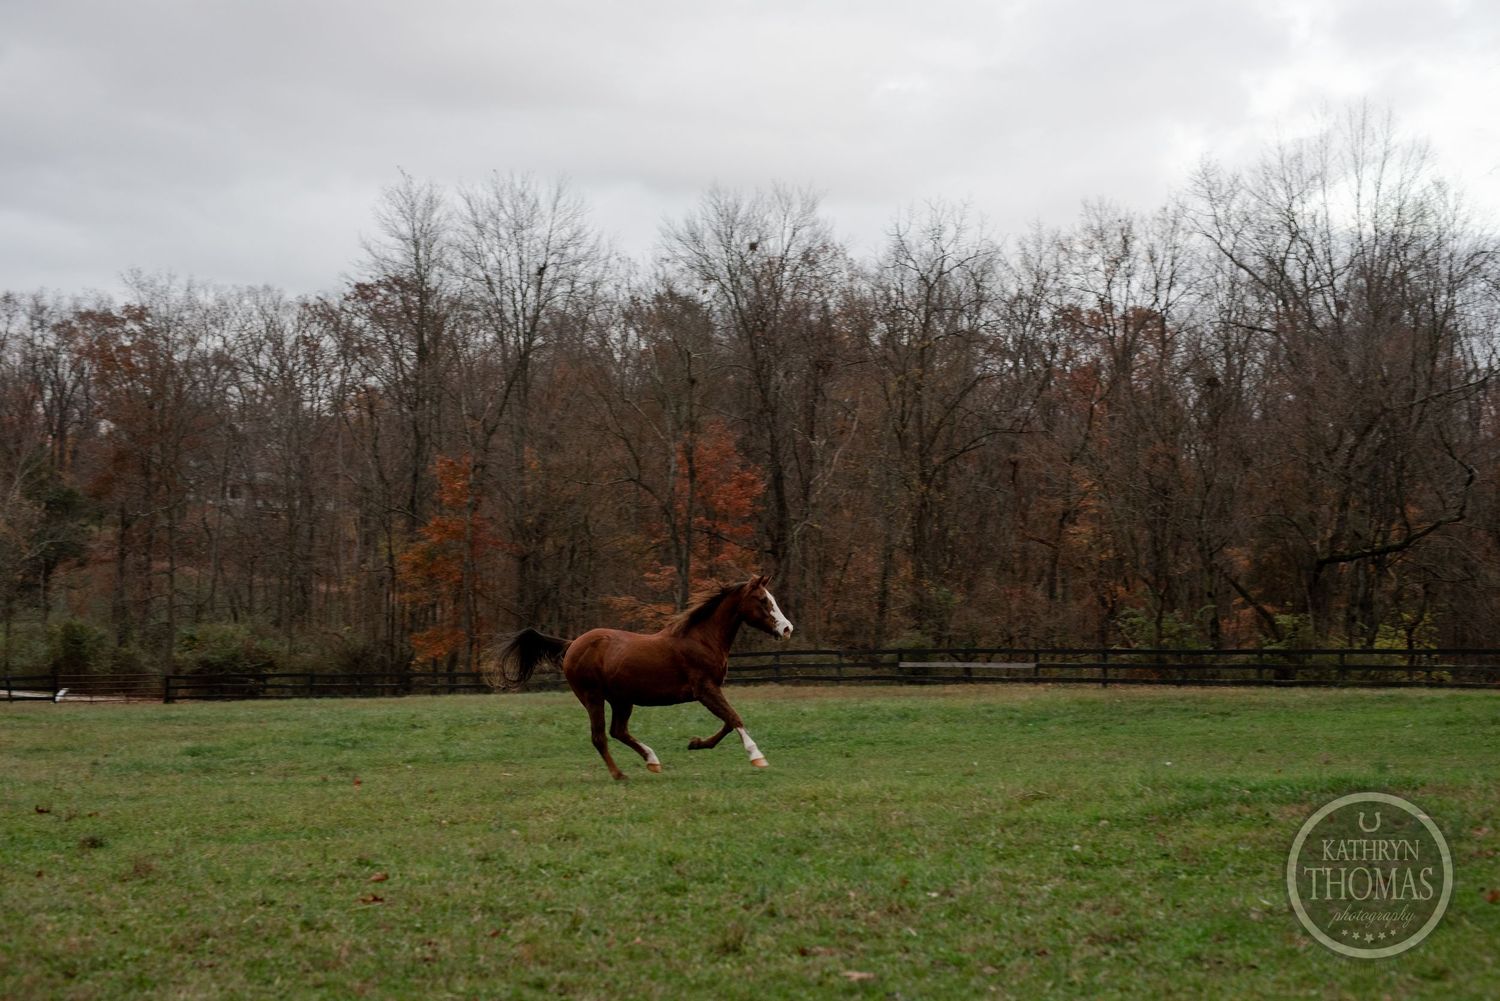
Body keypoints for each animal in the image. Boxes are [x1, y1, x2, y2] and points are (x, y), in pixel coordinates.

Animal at [496, 575, 794, 780]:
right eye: (764, 601)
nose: (787, 628)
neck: (702, 639)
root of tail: (572, 644)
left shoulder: (710, 691)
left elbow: (729, 722)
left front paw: (696, 743)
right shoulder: (705, 689)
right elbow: (734, 718)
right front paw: (757, 756)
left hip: (621, 700)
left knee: (618, 731)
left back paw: (652, 760)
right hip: (593, 697)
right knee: (600, 737)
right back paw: (620, 775)